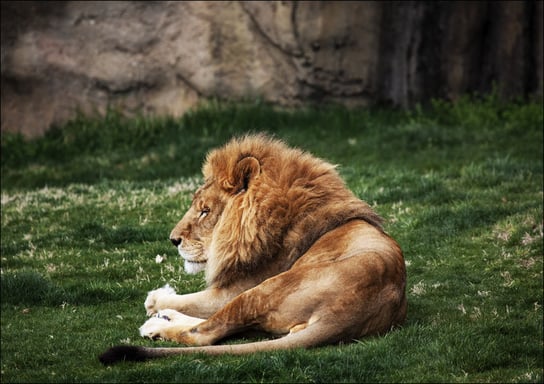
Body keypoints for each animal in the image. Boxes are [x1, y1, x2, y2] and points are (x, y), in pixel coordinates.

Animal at [98, 134, 406, 364]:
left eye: (205, 211)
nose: (173, 240)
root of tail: (346, 314)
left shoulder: (236, 287)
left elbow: (191, 301)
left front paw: (157, 300)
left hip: (262, 290)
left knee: (204, 332)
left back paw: (157, 324)